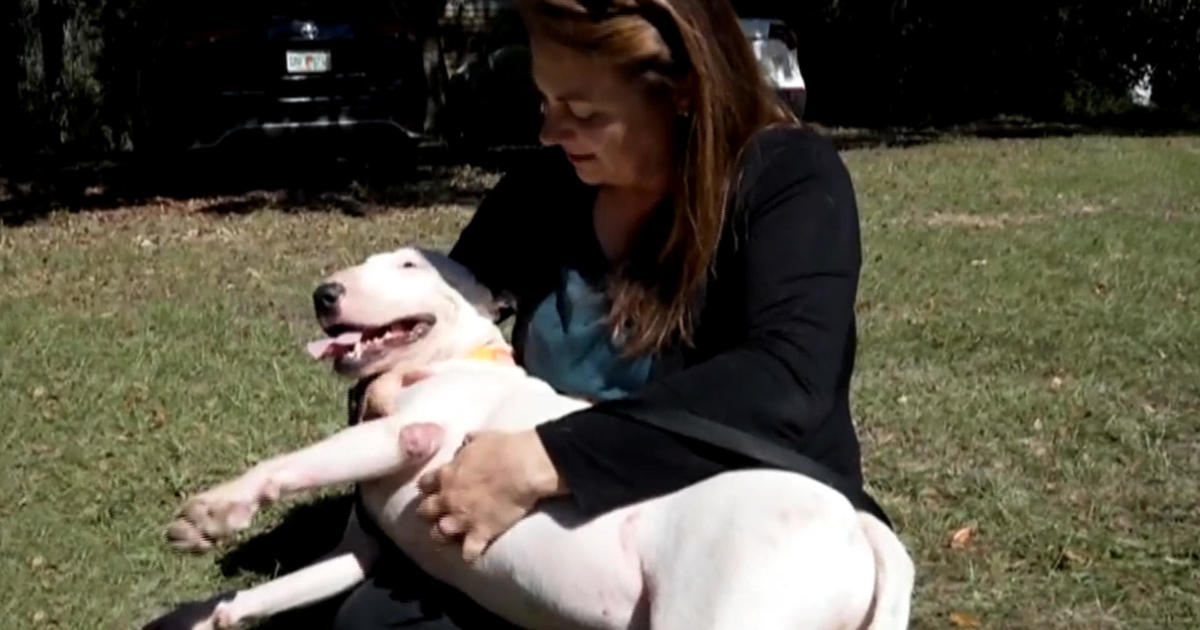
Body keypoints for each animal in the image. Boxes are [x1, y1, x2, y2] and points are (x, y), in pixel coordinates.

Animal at [154, 247, 912, 628]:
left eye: (409, 266)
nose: (324, 294)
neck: (453, 358)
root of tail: (859, 527)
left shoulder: (411, 434)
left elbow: (296, 462)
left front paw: (214, 514)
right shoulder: (364, 552)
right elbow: (304, 580)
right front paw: (221, 613)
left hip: (718, 609)